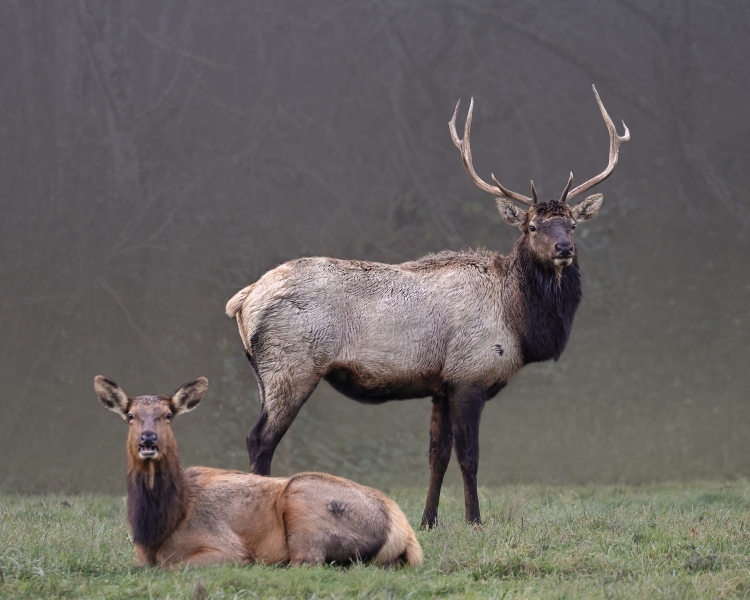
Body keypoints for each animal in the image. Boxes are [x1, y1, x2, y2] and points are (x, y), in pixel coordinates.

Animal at [94, 376, 424, 568]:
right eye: (130, 415)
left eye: (168, 415)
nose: (148, 440)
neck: (156, 527)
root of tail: (405, 534)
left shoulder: (226, 548)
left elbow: (172, 565)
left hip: (303, 501)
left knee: (307, 561)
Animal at [226, 84, 632, 524]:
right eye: (532, 226)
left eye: (572, 224)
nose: (564, 249)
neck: (519, 324)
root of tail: (243, 300)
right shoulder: (471, 375)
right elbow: (470, 457)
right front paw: (475, 520)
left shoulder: (441, 386)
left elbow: (437, 456)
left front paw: (428, 519)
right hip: (291, 366)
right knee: (259, 440)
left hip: (267, 375)